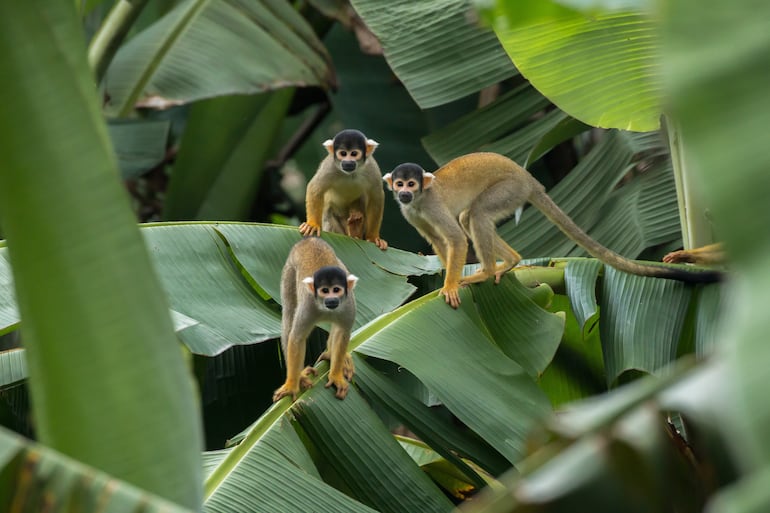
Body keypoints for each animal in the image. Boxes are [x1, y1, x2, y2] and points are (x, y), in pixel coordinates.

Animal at [273, 237, 358, 402]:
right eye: (325, 291)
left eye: (336, 290)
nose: (331, 300)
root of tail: (309, 239)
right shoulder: (308, 305)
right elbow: (297, 338)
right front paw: (292, 385)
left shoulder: (348, 304)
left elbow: (343, 332)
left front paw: (336, 375)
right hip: (288, 271)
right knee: (289, 314)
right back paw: (299, 376)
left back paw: (332, 354)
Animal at [383, 153, 722, 309]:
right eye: (399, 184)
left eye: (411, 183)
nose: (404, 192)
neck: (420, 200)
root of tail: (529, 179)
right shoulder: (411, 212)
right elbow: (439, 241)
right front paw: (446, 280)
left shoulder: (431, 204)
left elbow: (453, 238)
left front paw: (451, 284)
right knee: (470, 216)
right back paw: (511, 262)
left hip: (510, 190)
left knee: (476, 215)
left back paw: (487, 270)